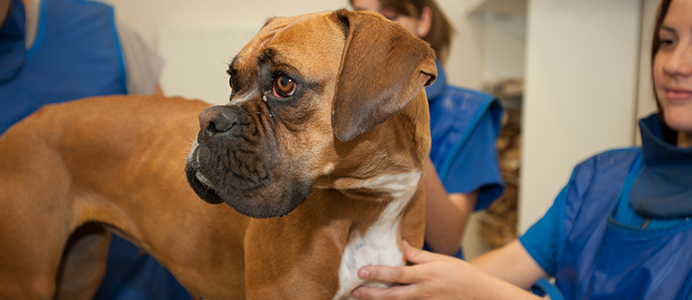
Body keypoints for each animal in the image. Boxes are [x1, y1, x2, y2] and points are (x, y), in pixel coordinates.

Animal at [0, 9, 432, 300]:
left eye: (284, 83)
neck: (368, 199)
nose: (209, 119)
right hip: (26, 280)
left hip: (78, 270)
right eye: (232, 80)